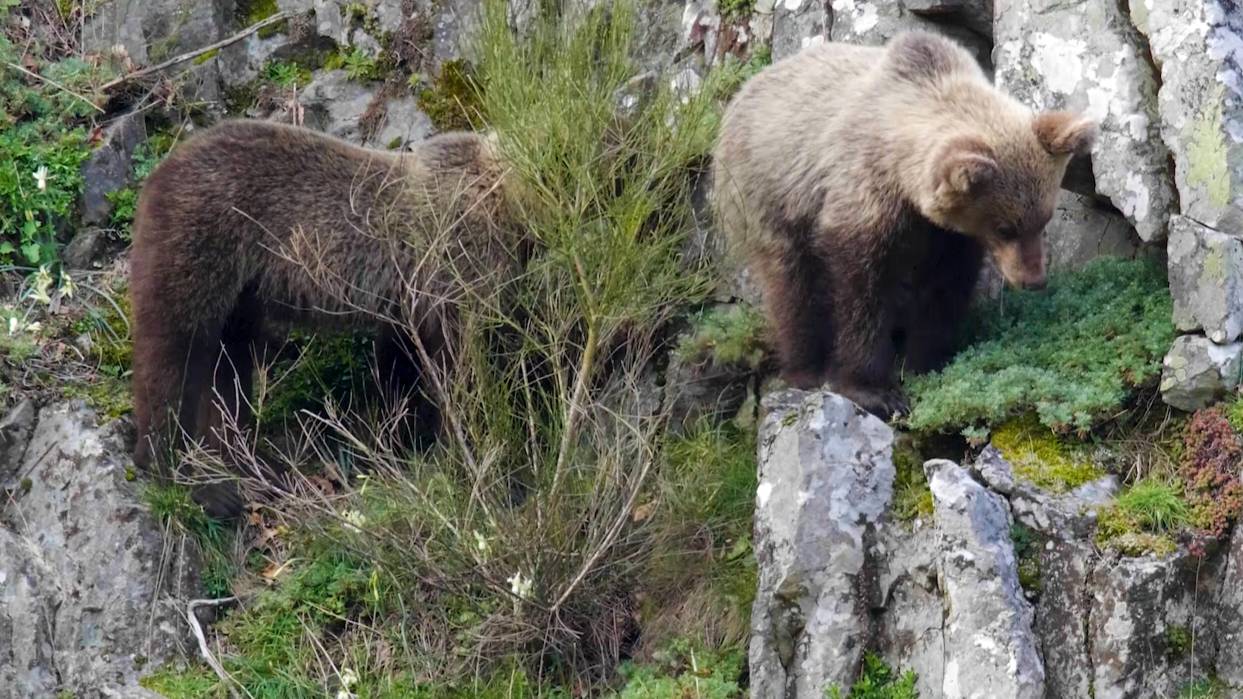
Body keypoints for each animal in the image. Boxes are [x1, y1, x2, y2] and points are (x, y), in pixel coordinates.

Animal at [132, 119, 524, 512]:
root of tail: (157, 176)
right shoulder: (457, 260)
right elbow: (463, 367)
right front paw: (470, 454)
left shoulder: (408, 301)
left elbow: (402, 364)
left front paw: (399, 438)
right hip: (201, 246)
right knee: (174, 356)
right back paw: (183, 475)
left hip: (239, 294)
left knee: (228, 367)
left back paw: (246, 467)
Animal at [710, 29, 1098, 415]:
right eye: (1005, 227)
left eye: (1043, 219)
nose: (1034, 279)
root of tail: (744, 91)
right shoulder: (861, 198)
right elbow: (860, 294)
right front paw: (874, 389)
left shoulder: (948, 236)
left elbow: (945, 290)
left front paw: (926, 360)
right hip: (766, 195)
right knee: (791, 285)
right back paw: (804, 367)